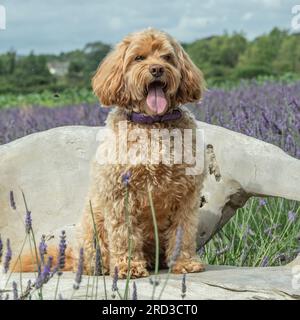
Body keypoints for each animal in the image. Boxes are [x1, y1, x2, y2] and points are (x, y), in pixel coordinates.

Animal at [75, 28, 206, 278]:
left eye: (167, 57)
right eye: (139, 58)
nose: (156, 69)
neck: (153, 123)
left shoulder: (187, 195)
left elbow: (183, 232)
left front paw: (184, 262)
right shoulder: (120, 194)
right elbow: (124, 234)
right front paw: (128, 267)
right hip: (92, 223)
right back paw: (101, 267)